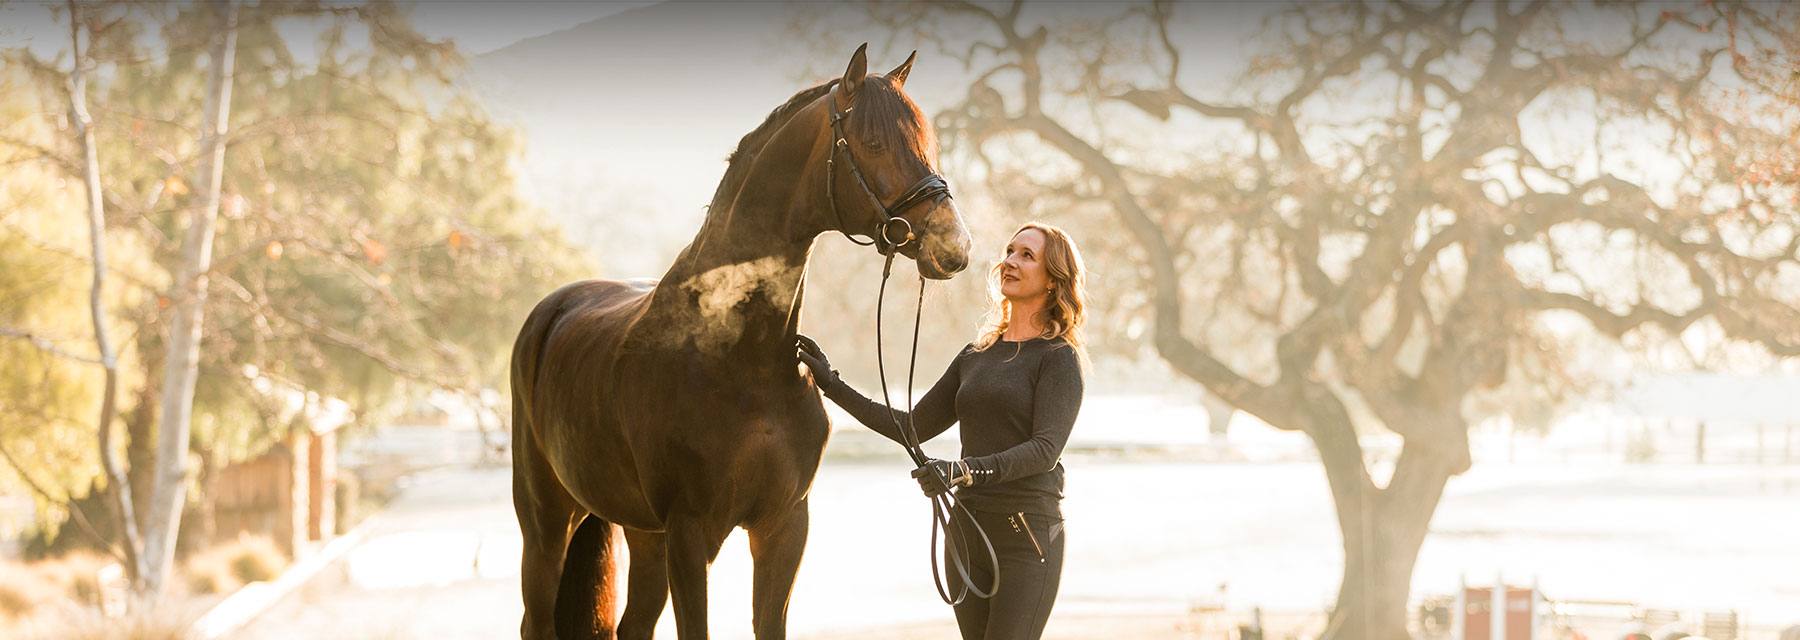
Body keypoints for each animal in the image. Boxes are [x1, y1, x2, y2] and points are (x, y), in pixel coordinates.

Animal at [507, 46, 972, 640]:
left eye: (928, 142)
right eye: (872, 143)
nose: (954, 246)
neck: (743, 364)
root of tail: (552, 310)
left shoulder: (784, 526)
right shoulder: (690, 534)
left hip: (643, 535)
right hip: (547, 523)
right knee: (536, 615)